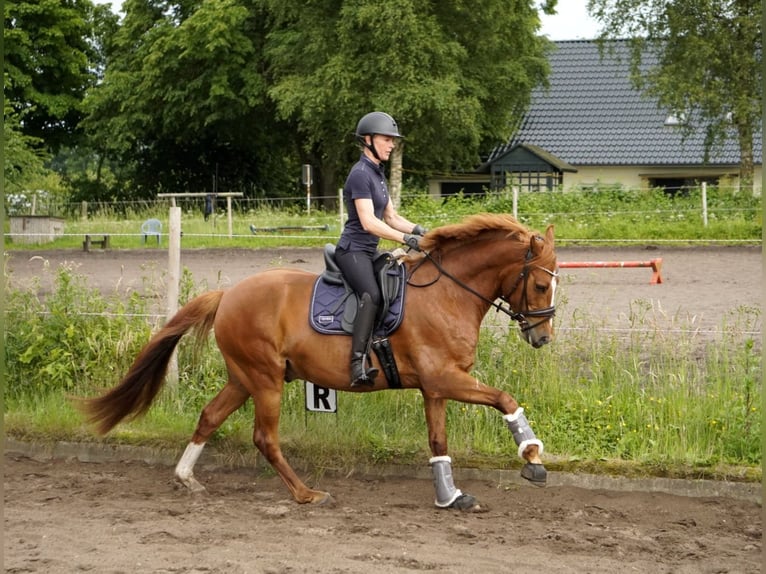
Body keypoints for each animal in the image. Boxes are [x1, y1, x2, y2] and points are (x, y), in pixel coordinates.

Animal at [81, 213, 558, 510]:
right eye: (539, 285)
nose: (542, 337)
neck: (447, 293)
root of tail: (229, 293)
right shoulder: (445, 378)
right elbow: (504, 399)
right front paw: (533, 458)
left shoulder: (435, 386)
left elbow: (438, 442)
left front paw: (451, 497)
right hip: (266, 379)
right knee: (264, 438)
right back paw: (306, 494)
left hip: (243, 377)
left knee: (210, 415)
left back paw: (186, 477)